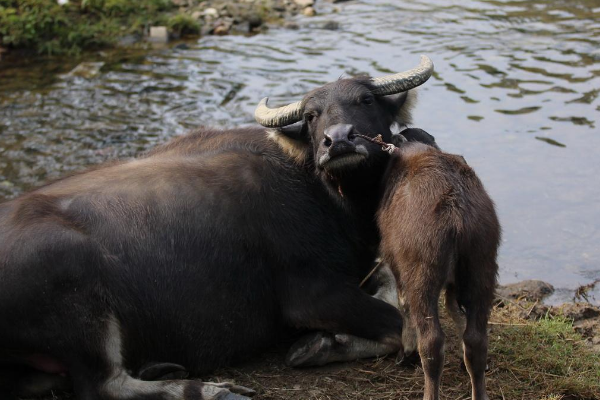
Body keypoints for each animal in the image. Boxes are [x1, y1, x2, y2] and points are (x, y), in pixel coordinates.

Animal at [0, 55, 434, 396]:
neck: (326, 194)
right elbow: (402, 328)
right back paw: (210, 390)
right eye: (312, 116)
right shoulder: (313, 295)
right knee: (103, 385)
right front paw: (322, 345)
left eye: (366, 100)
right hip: (80, 300)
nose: (338, 140)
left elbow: (392, 290)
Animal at [378, 130, 500, 400]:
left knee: (432, 343)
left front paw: (406, 354)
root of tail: (457, 212)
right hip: (481, 268)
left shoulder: (396, 264)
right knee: (477, 341)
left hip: (422, 275)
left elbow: (403, 304)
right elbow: (455, 310)